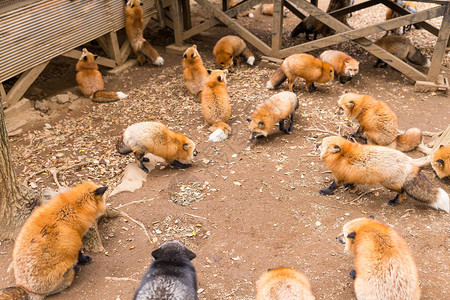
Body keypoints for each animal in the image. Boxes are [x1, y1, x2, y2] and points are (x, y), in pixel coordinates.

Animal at [318, 135, 448, 212]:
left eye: (321, 144)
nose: (316, 144)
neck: (343, 156)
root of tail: (410, 162)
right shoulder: (353, 174)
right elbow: (351, 182)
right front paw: (349, 186)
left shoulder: (339, 176)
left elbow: (333, 186)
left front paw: (326, 191)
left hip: (389, 184)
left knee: (402, 191)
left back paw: (395, 202)